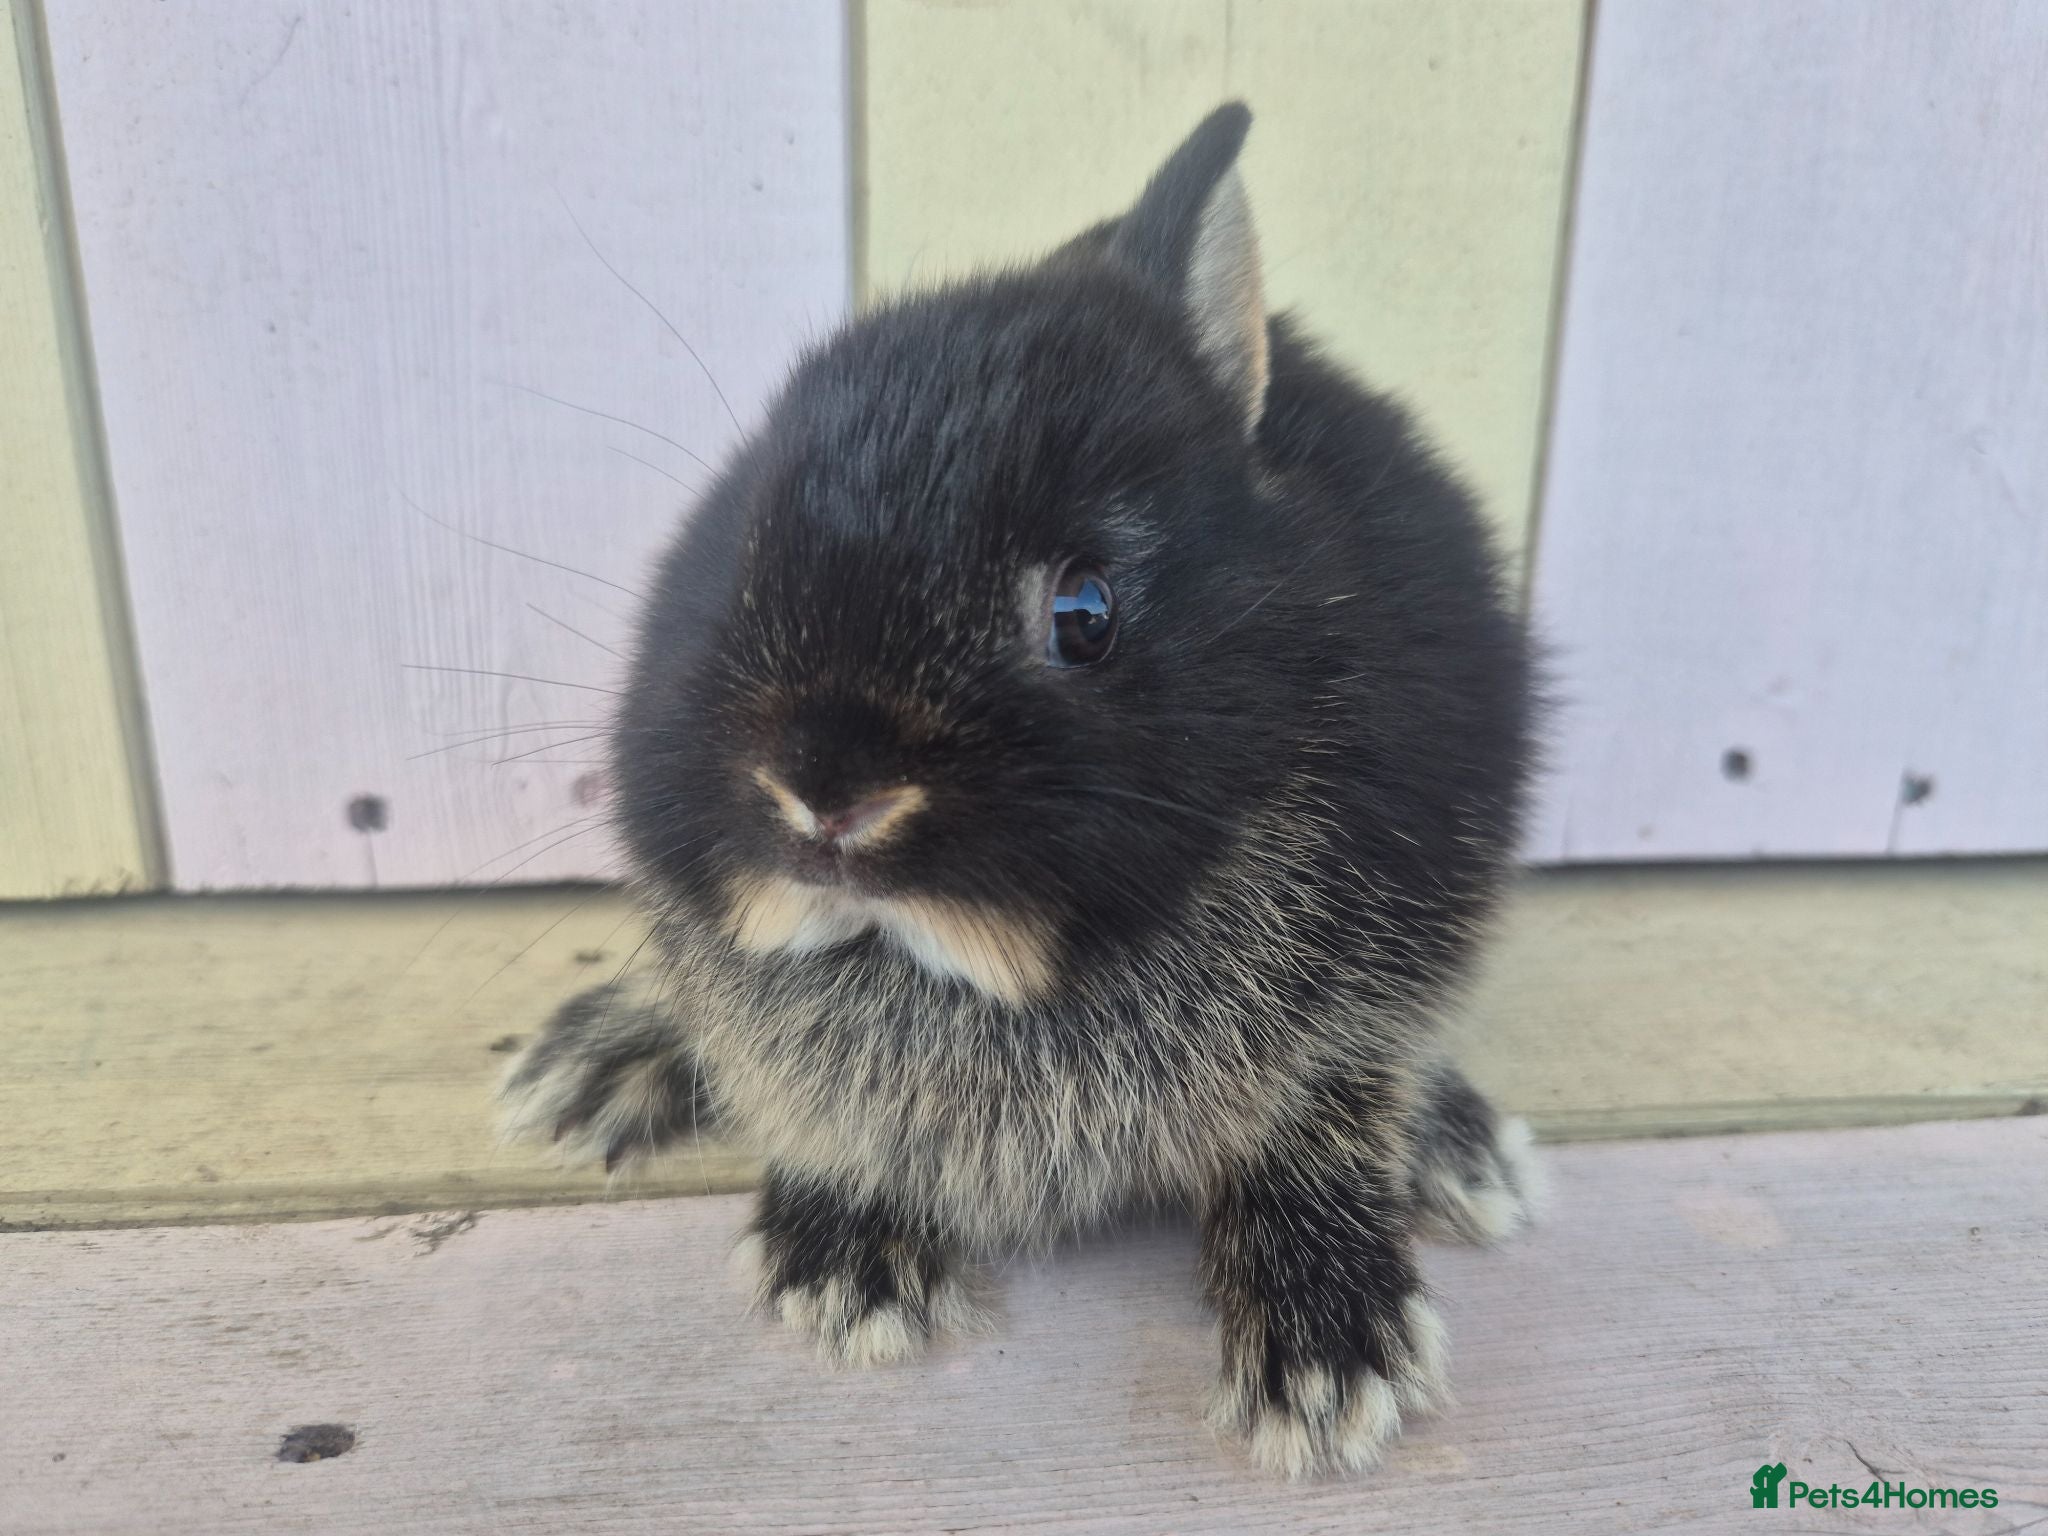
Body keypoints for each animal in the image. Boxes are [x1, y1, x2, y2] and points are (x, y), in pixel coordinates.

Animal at [502, 101, 1544, 1478]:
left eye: (1083, 613)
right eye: (738, 553)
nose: (823, 792)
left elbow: (1321, 1109)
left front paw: (1329, 1359)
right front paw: (842, 1269)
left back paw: (1465, 1155)